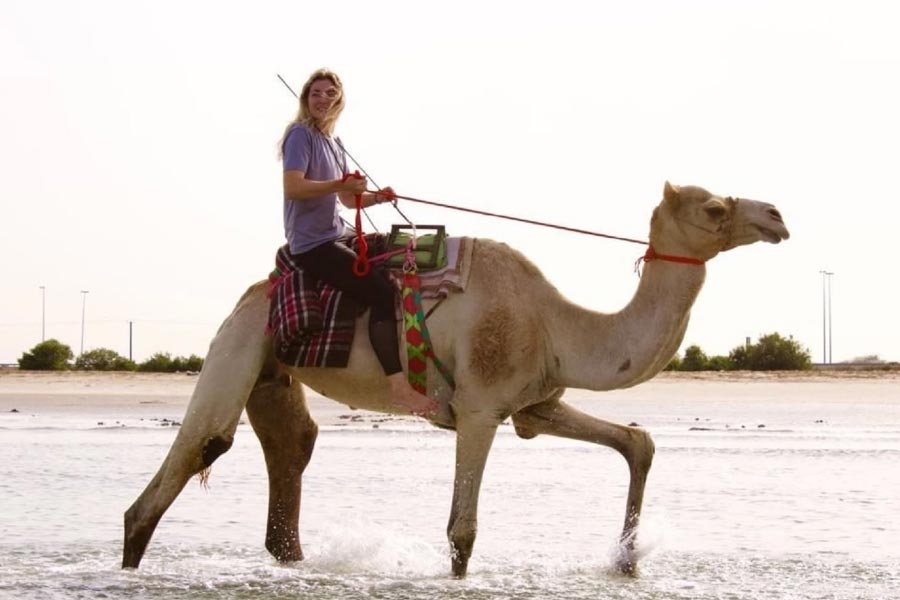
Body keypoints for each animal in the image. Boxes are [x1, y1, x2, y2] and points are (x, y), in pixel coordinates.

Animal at [122, 182, 789, 576]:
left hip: (273, 372)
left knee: (290, 459)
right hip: (237, 347)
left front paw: (626, 562)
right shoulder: (479, 407)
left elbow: (637, 441)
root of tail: (252, 293)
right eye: (715, 208)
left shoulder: (536, 406)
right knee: (191, 457)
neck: (556, 325)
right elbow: (461, 532)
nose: (778, 215)